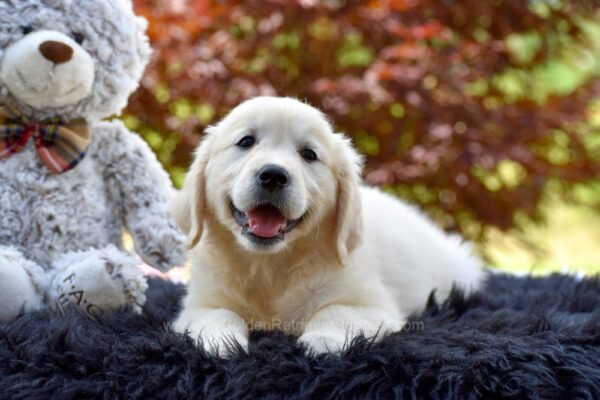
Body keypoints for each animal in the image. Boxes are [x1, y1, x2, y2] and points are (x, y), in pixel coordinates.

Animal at [172, 97, 482, 356]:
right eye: (246, 141)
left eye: (309, 154)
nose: (273, 175)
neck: (269, 265)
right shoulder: (199, 304)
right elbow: (219, 313)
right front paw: (221, 342)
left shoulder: (372, 306)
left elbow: (335, 311)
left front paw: (321, 339)